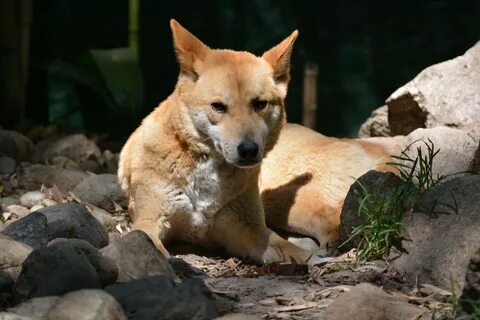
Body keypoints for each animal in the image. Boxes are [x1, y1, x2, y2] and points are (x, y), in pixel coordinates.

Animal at [117, 20, 394, 264]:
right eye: (218, 106)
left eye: (259, 104)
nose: (249, 150)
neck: (205, 168)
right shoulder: (149, 221)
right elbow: (153, 246)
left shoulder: (246, 228)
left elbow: (285, 247)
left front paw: (311, 261)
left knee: (336, 226)